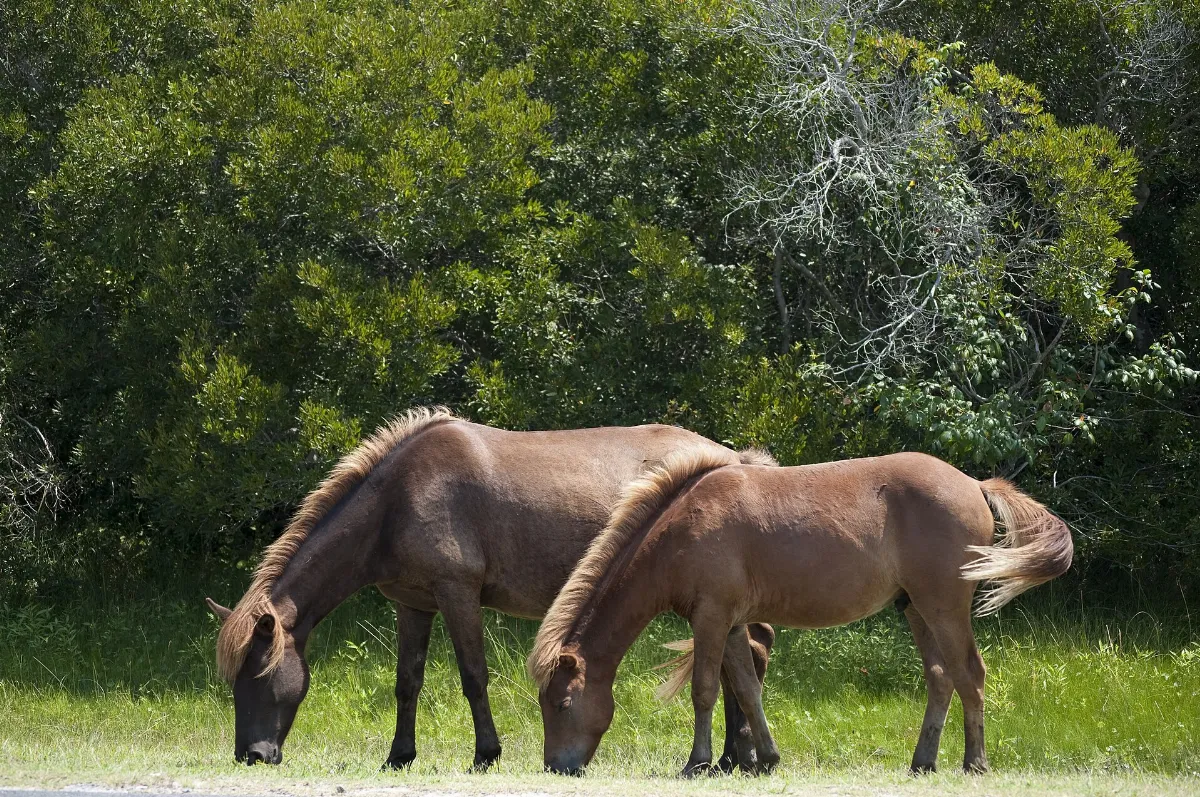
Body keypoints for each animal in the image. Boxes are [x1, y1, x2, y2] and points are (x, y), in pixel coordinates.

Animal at [204, 407, 777, 770]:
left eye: (258, 675)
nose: (251, 756)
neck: (398, 498)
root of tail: (734, 459)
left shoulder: (457, 593)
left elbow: (473, 677)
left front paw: (486, 753)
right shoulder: (413, 605)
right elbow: (407, 683)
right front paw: (399, 756)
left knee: (741, 659)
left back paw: (737, 757)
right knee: (739, 660)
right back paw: (736, 758)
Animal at [529, 449, 1073, 776]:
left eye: (562, 704)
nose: (557, 765)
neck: (682, 529)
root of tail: (974, 484)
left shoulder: (711, 618)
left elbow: (705, 691)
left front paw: (697, 762)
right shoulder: (730, 624)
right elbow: (747, 690)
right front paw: (766, 758)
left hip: (944, 607)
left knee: (970, 676)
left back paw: (974, 762)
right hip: (917, 610)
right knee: (941, 678)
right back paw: (922, 762)